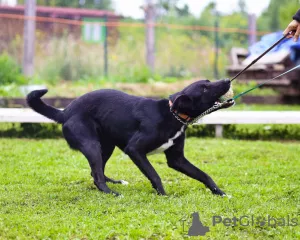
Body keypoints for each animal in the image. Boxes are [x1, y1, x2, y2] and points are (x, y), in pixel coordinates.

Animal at [27, 79, 231, 196]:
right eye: (204, 88)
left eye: (208, 82)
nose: (228, 80)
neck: (172, 114)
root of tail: (65, 111)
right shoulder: (135, 150)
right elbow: (154, 175)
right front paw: (163, 195)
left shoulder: (177, 159)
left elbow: (203, 174)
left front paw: (219, 192)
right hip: (91, 145)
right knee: (97, 176)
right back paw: (111, 193)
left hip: (106, 146)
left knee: (96, 172)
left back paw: (116, 183)